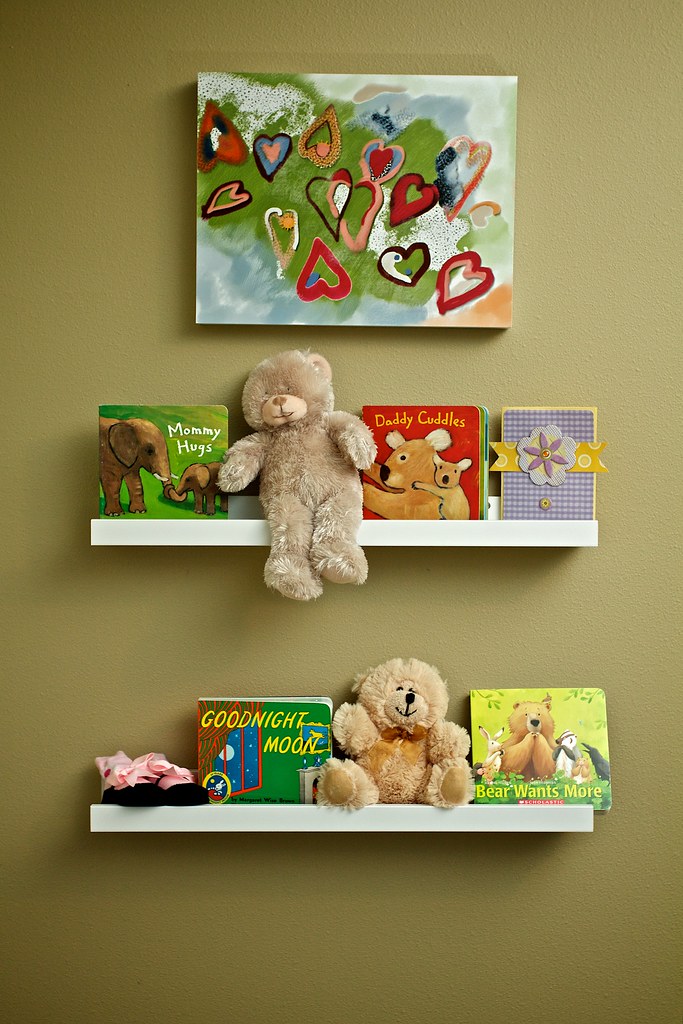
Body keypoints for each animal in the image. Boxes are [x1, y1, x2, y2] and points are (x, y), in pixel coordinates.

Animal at [471, 692, 614, 811]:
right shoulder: (510, 745)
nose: (535, 721)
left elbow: (550, 765)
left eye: (539, 713)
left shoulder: (552, 749)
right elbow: (509, 762)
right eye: (526, 713)